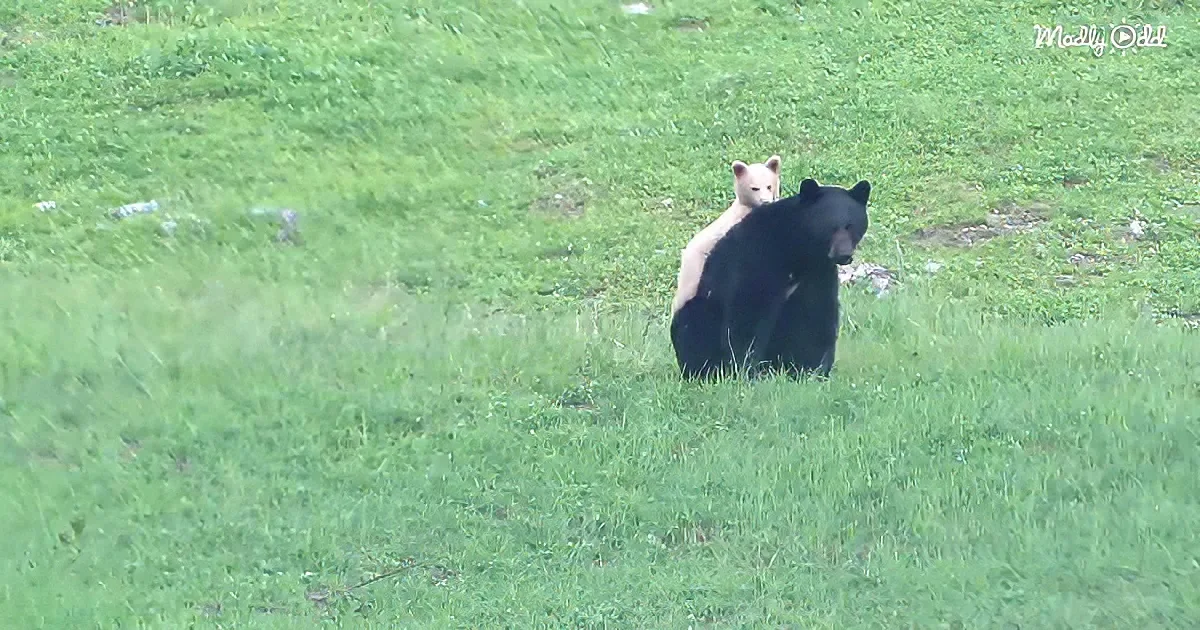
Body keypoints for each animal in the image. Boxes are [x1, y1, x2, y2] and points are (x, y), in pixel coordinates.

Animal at [669, 177, 871, 381]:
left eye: (851, 226)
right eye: (830, 227)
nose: (844, 254)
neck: (798, 250)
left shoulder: (818, 273)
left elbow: (816, 315)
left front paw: (813, 371)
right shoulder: (759, 256)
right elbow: (749, 313)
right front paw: (747, 371)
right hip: (700, 305)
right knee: (694, 325)